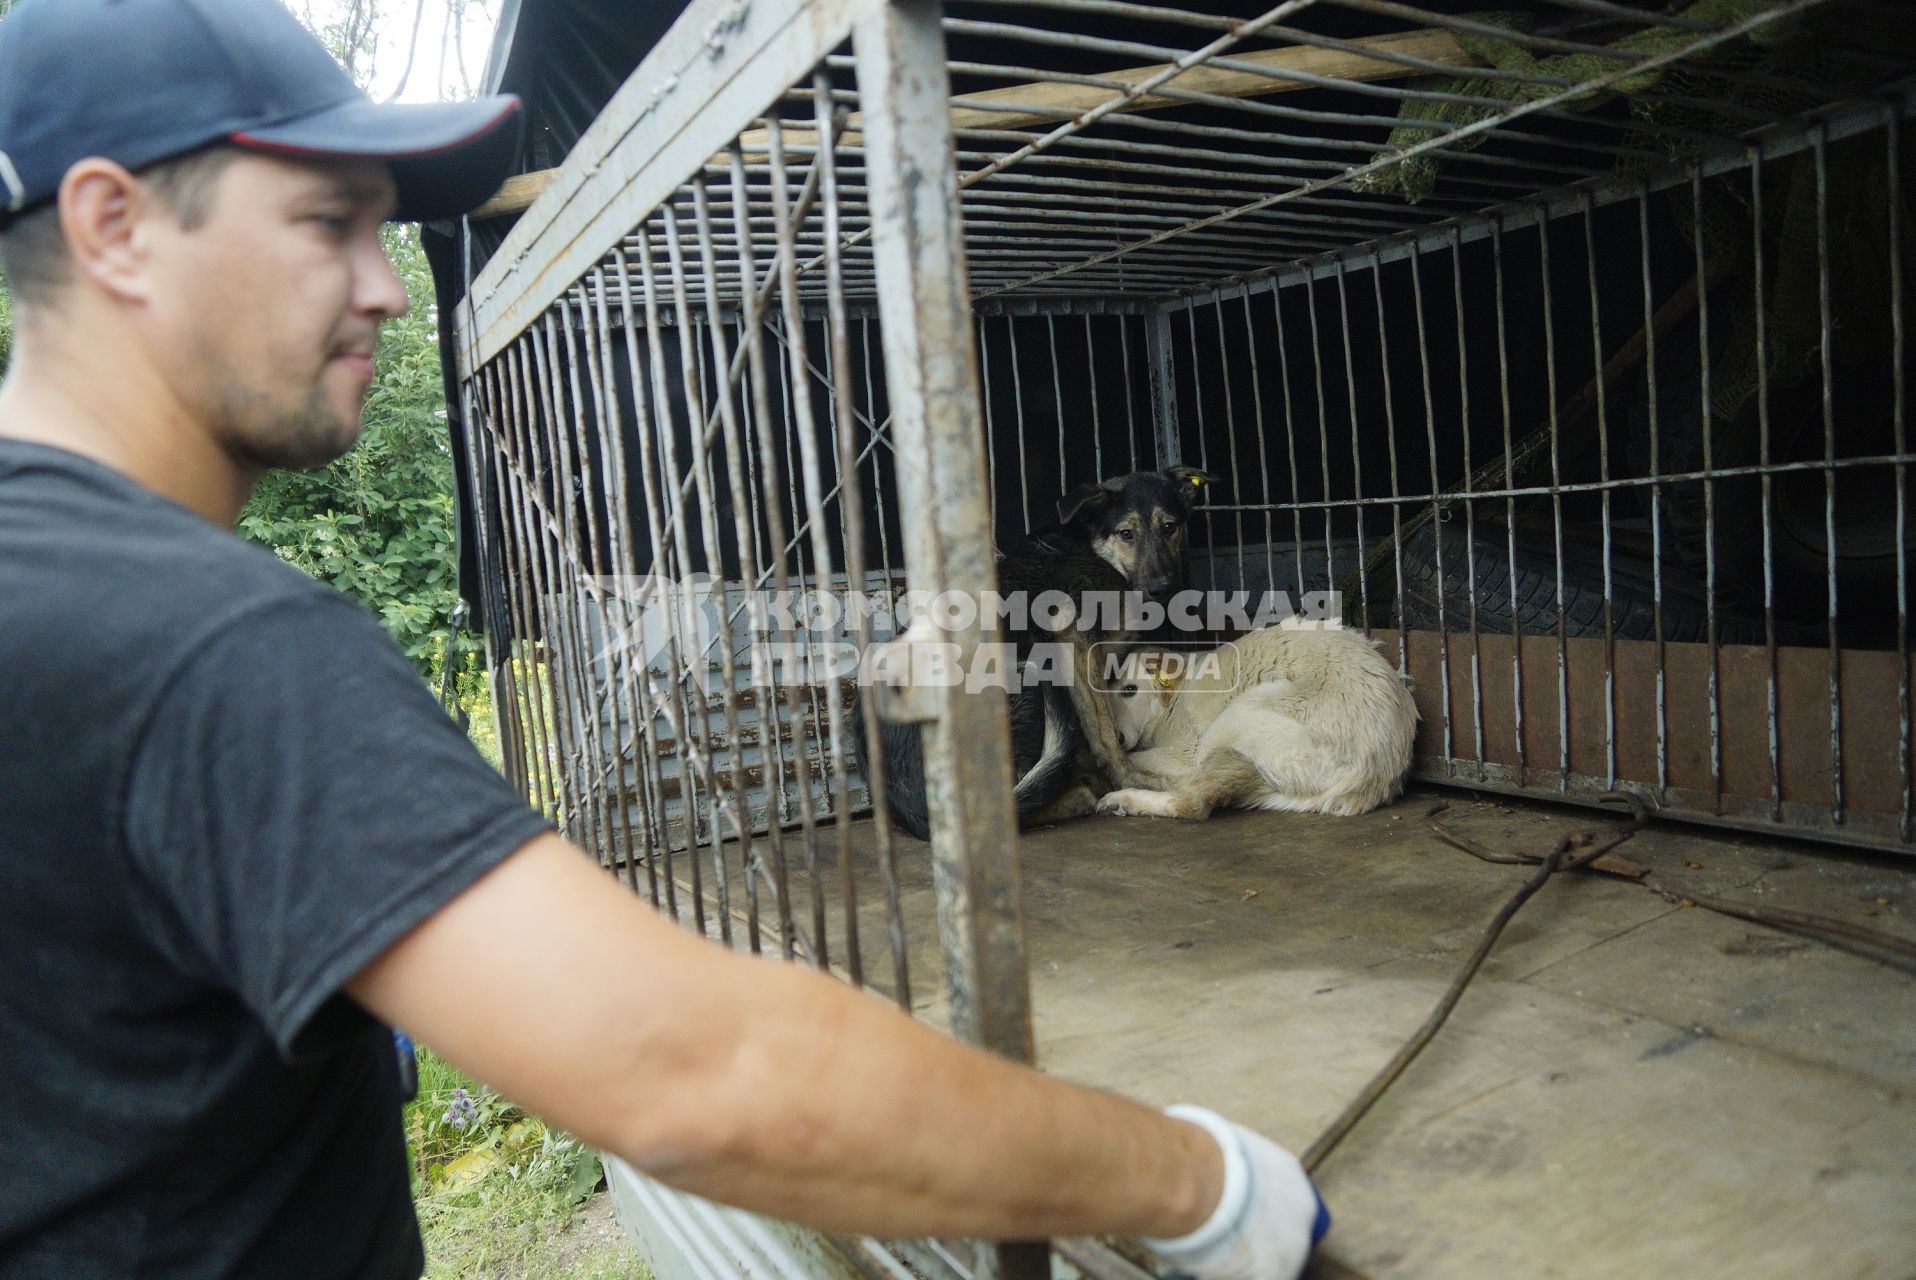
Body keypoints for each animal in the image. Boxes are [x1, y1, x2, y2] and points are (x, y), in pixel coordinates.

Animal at [854, 467, 1210, 839]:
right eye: (1126, 533)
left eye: (1169, 527)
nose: (1161, 588)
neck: (1097, 551)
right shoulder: (1073, 640)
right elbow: (1103, 729)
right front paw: (1128, 779)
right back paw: (1078, 794)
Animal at [1095, 628, 1425, 820]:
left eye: (1129, 690)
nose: (1117, 737)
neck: (1174, 695)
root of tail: (1375, 771)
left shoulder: (1185, 751)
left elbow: (1135, 758)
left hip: (1239, 715)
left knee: (1193, 800)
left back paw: (1124, 799)